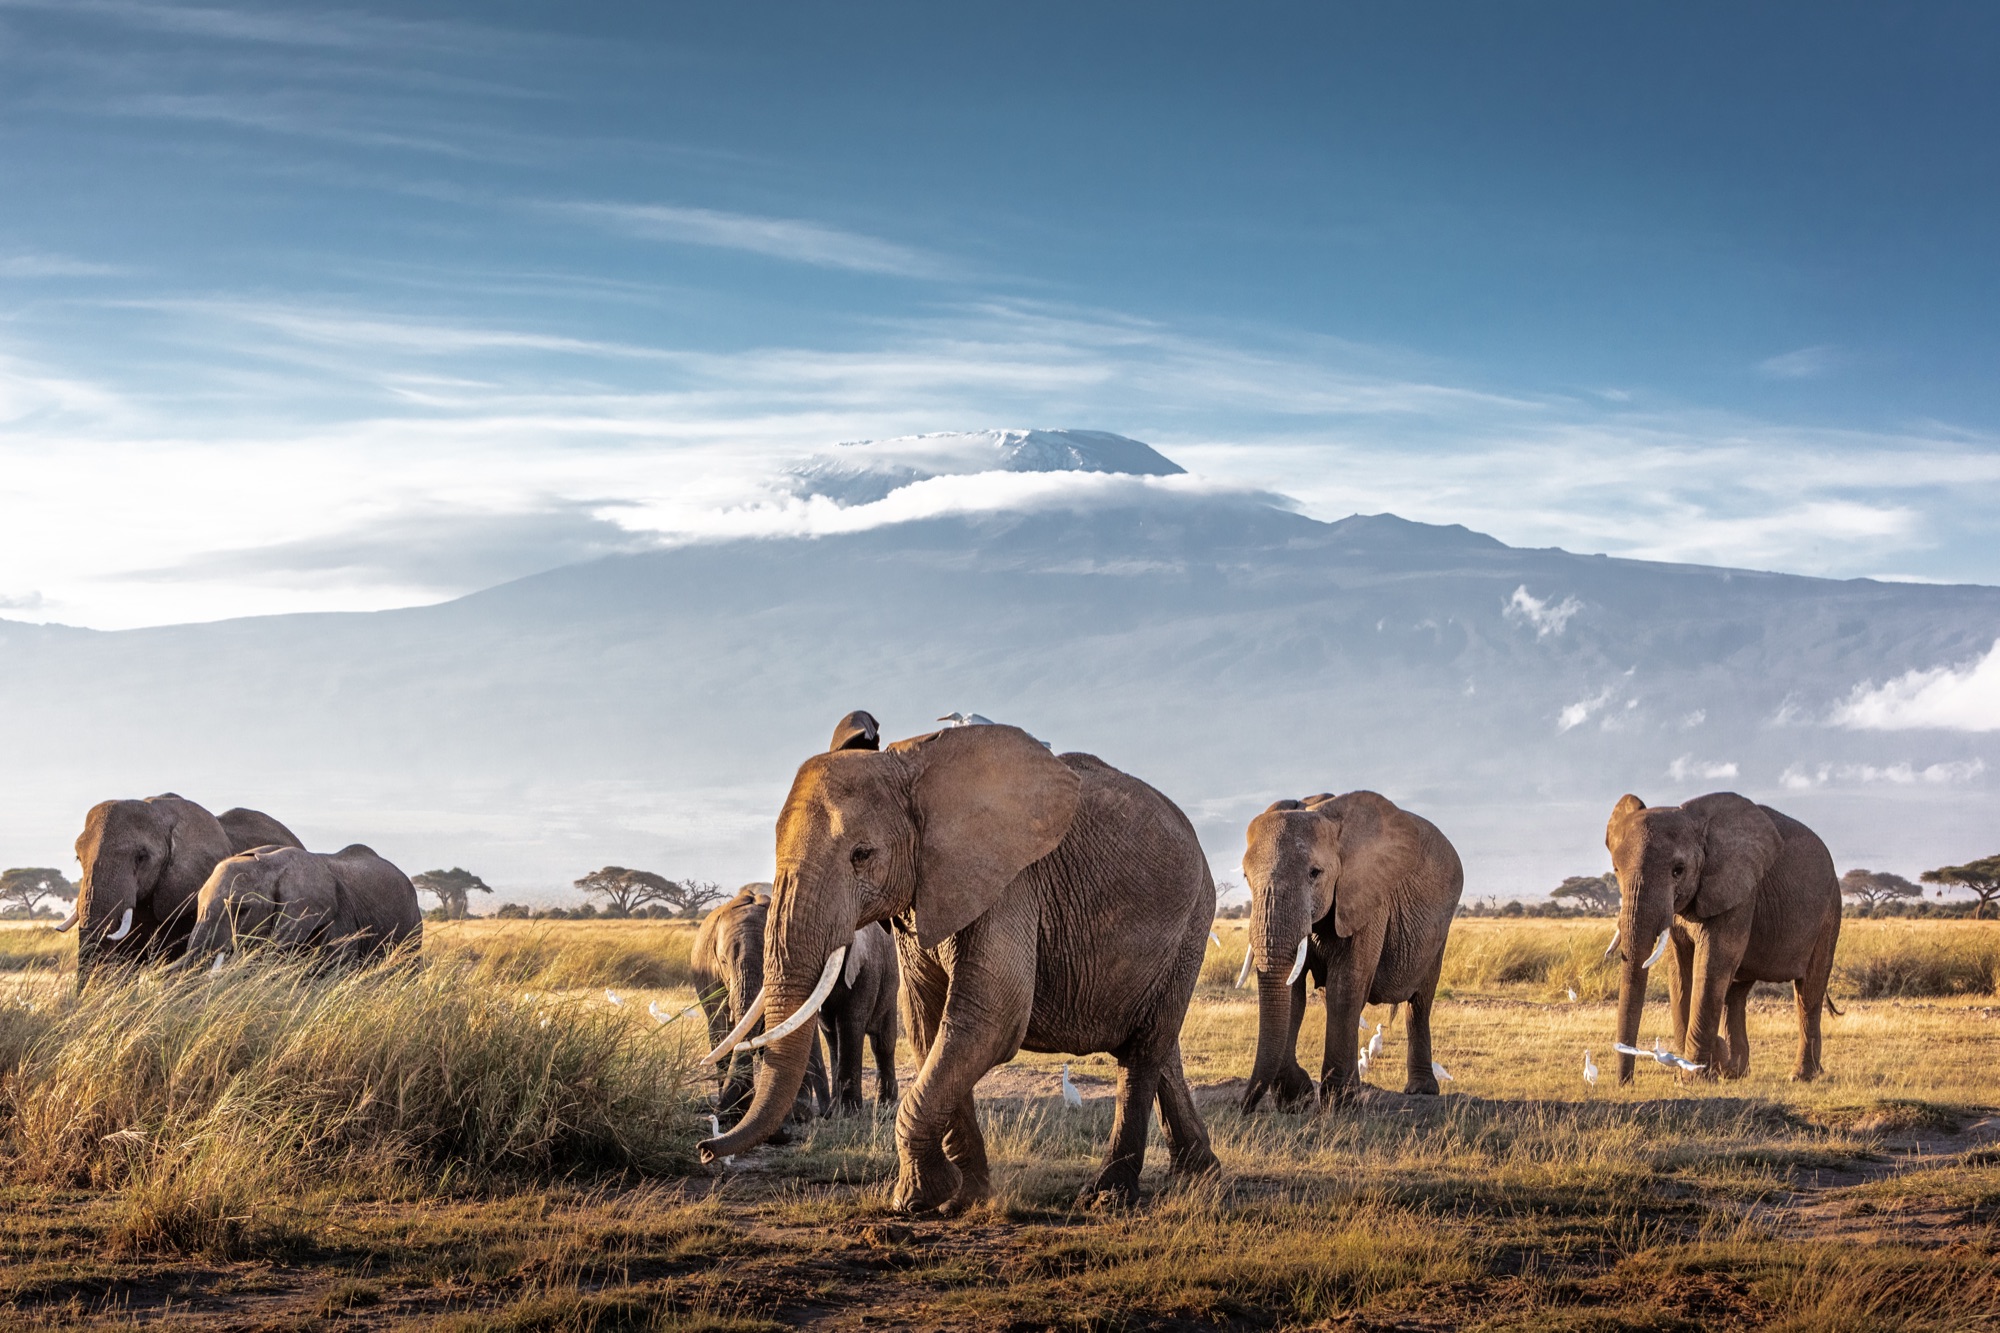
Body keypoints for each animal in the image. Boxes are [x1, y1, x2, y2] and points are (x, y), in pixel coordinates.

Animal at [1239, 792, 1464, 1110]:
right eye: (1246, 877)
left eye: (1315, 873)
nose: (1243, 1107)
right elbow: (1293, 993)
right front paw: (1297, 1099)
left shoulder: (1367, 899)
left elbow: (1346, 985)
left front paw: (1341, 1101)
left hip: (1440, 930)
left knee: (1419, 1003)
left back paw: (1421, 1090)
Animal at [1606, 792, 1842, 1083]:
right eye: (1616, 870)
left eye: (1678, 870)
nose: (1625, 1083)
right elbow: (1680, 973)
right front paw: (1699, 1069)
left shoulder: (1739, 893)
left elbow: (1711, 966)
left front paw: (1694, 1077)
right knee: (1735, 994)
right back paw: (1734, 1073)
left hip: (1829, 913)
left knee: (1808, 993)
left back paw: (1801, 1076)